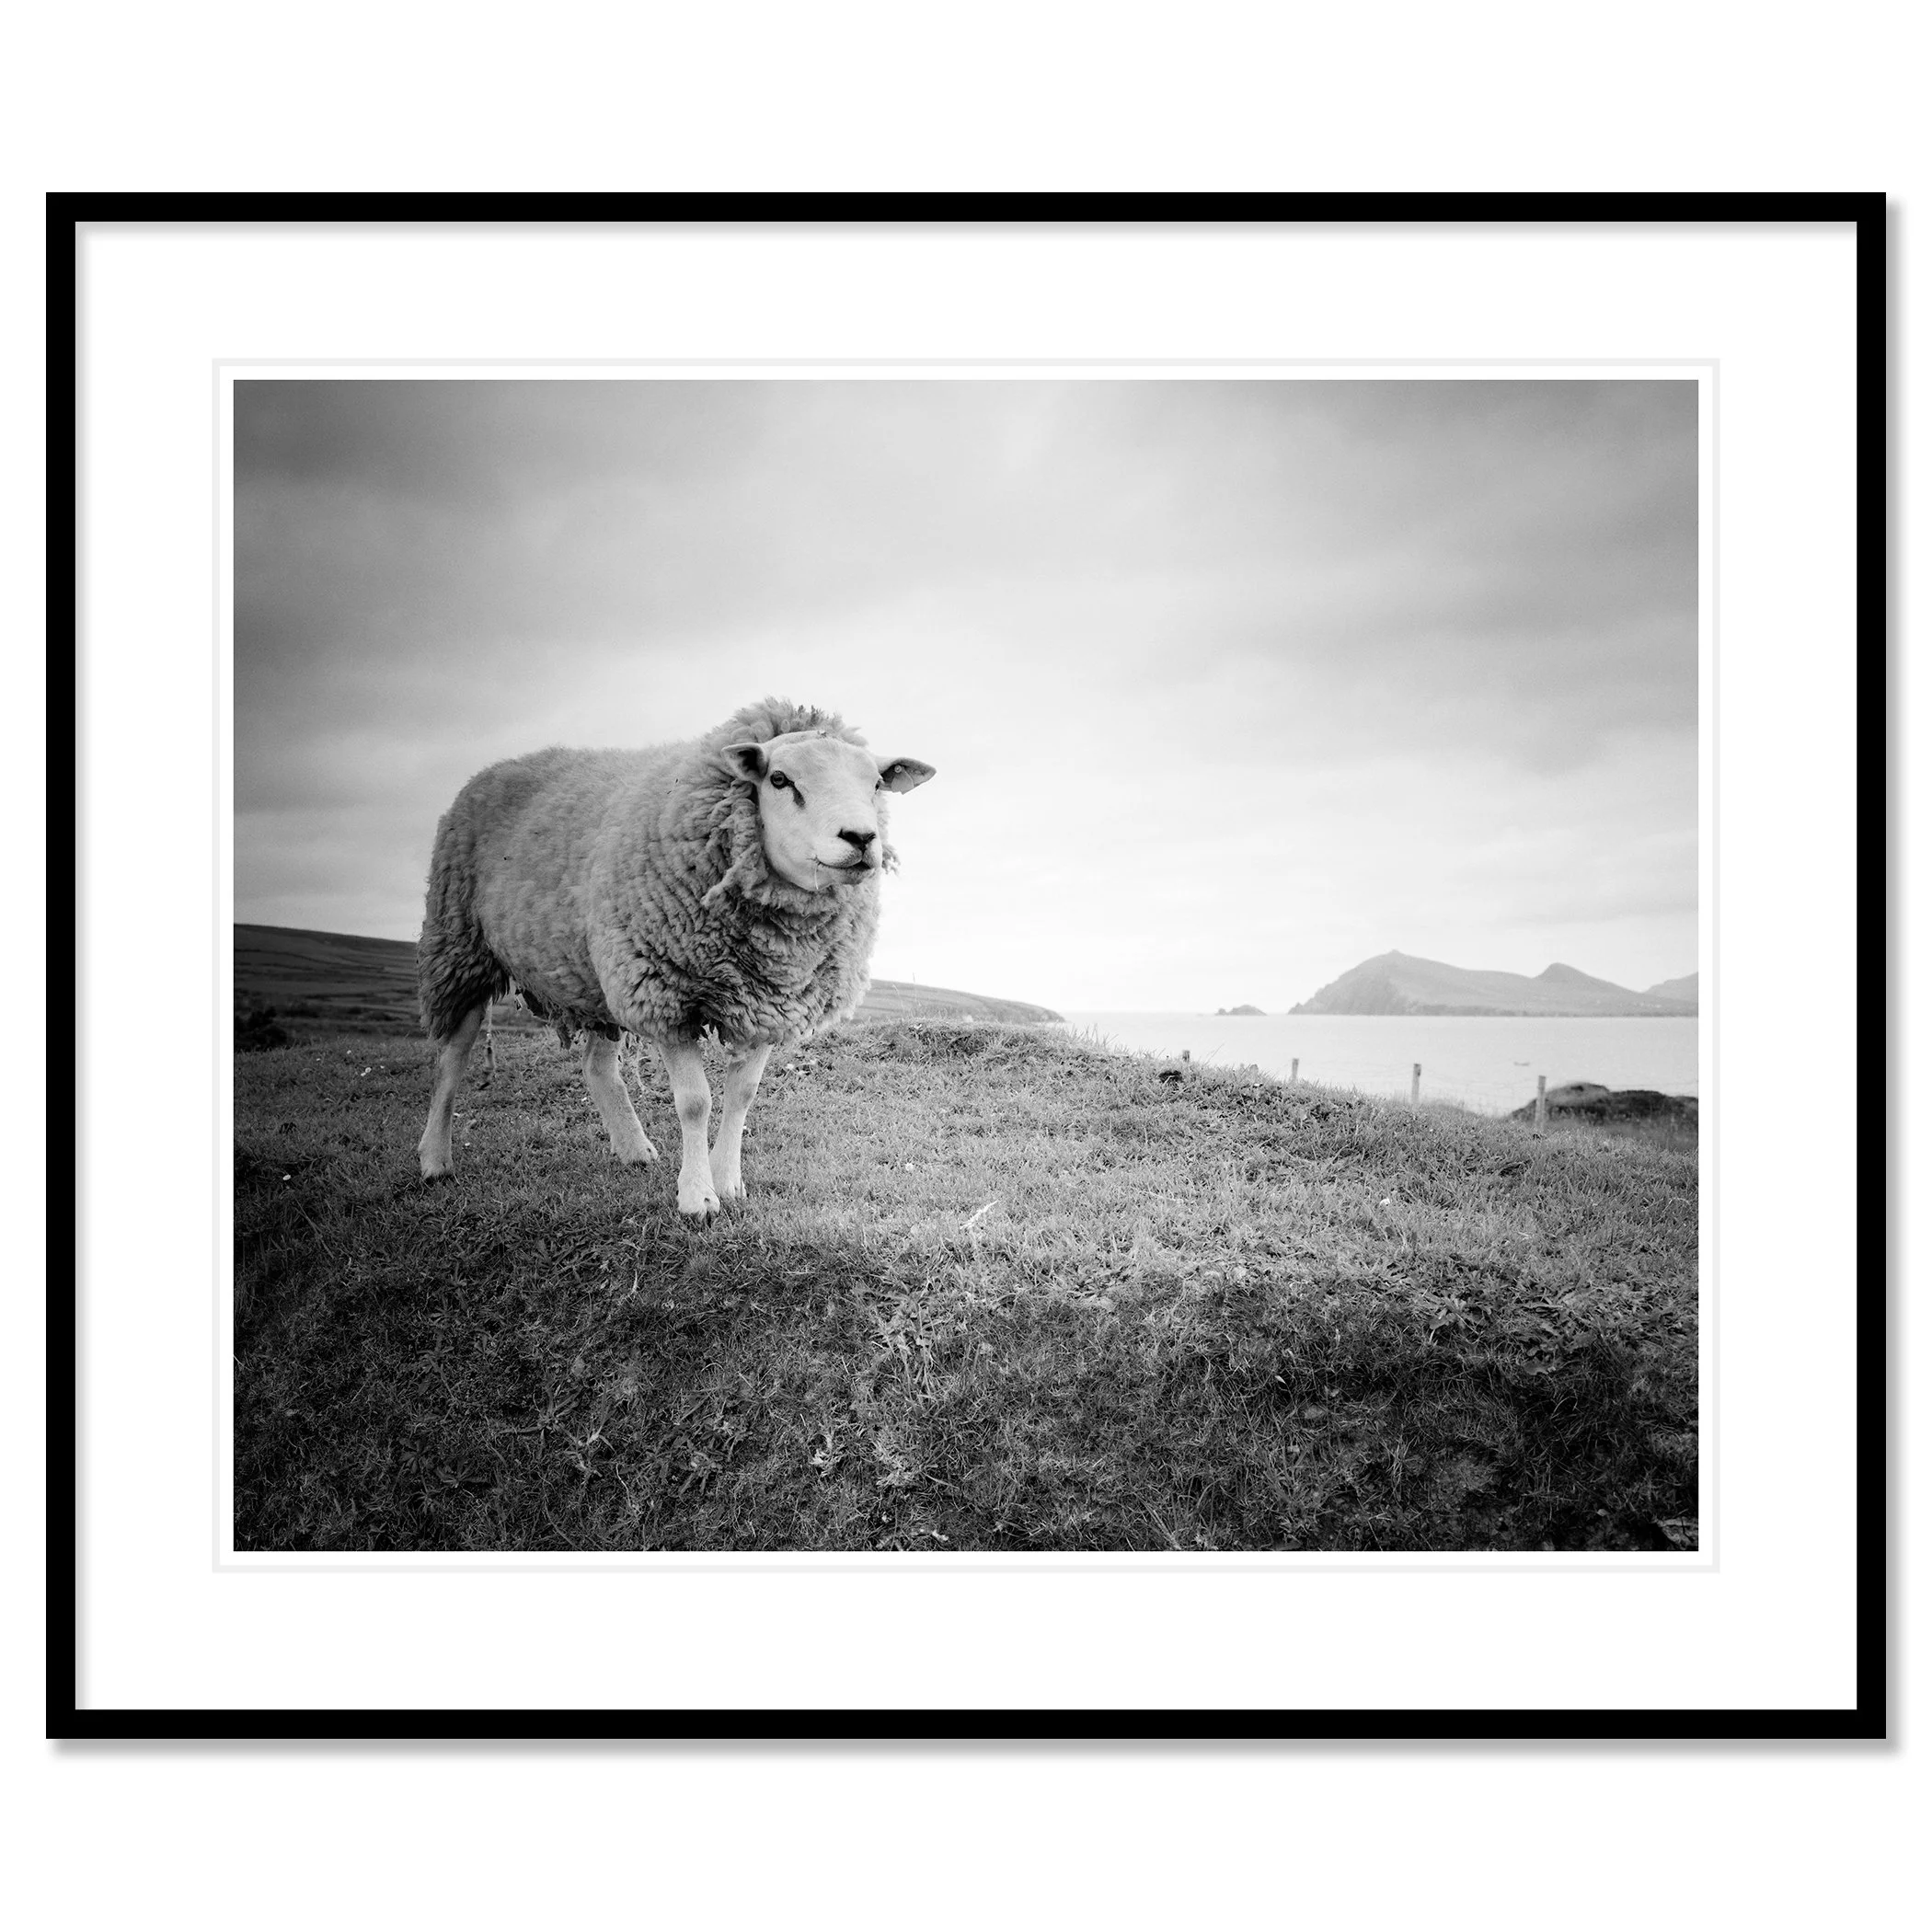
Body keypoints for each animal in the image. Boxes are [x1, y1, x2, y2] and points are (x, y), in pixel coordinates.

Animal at [415, 698, 935, 1220]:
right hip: (460, 944)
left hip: (599, 974)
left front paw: (729, 1182)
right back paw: (435, 1160)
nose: (861, 838)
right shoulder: (666, 993)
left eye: (876, 784)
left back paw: (633, 1149)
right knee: (451, 1058)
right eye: (780, 779)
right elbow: (694, 1102)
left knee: (597, 1067)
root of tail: (492, 768)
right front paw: (697, 1197)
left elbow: (742, 1095)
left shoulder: (768, 1000)